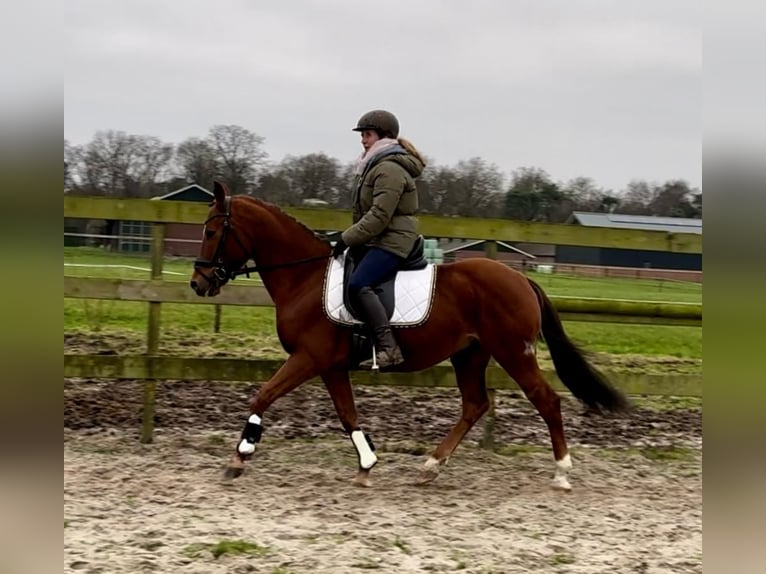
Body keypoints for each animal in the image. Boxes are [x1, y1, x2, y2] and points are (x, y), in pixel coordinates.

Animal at [192, 182, 632, 492]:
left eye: (212, 231)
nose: (199, 283)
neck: (304, 278)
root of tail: (521, 278)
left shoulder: (308, 358)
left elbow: (262, 395)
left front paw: (239, 456)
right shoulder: (331, 367)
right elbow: (347, 415)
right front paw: (366, 466)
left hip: (513, 352)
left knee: (546, 401)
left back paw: (561, 473)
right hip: (470, 354)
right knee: (475, 405)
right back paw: (431, 467)